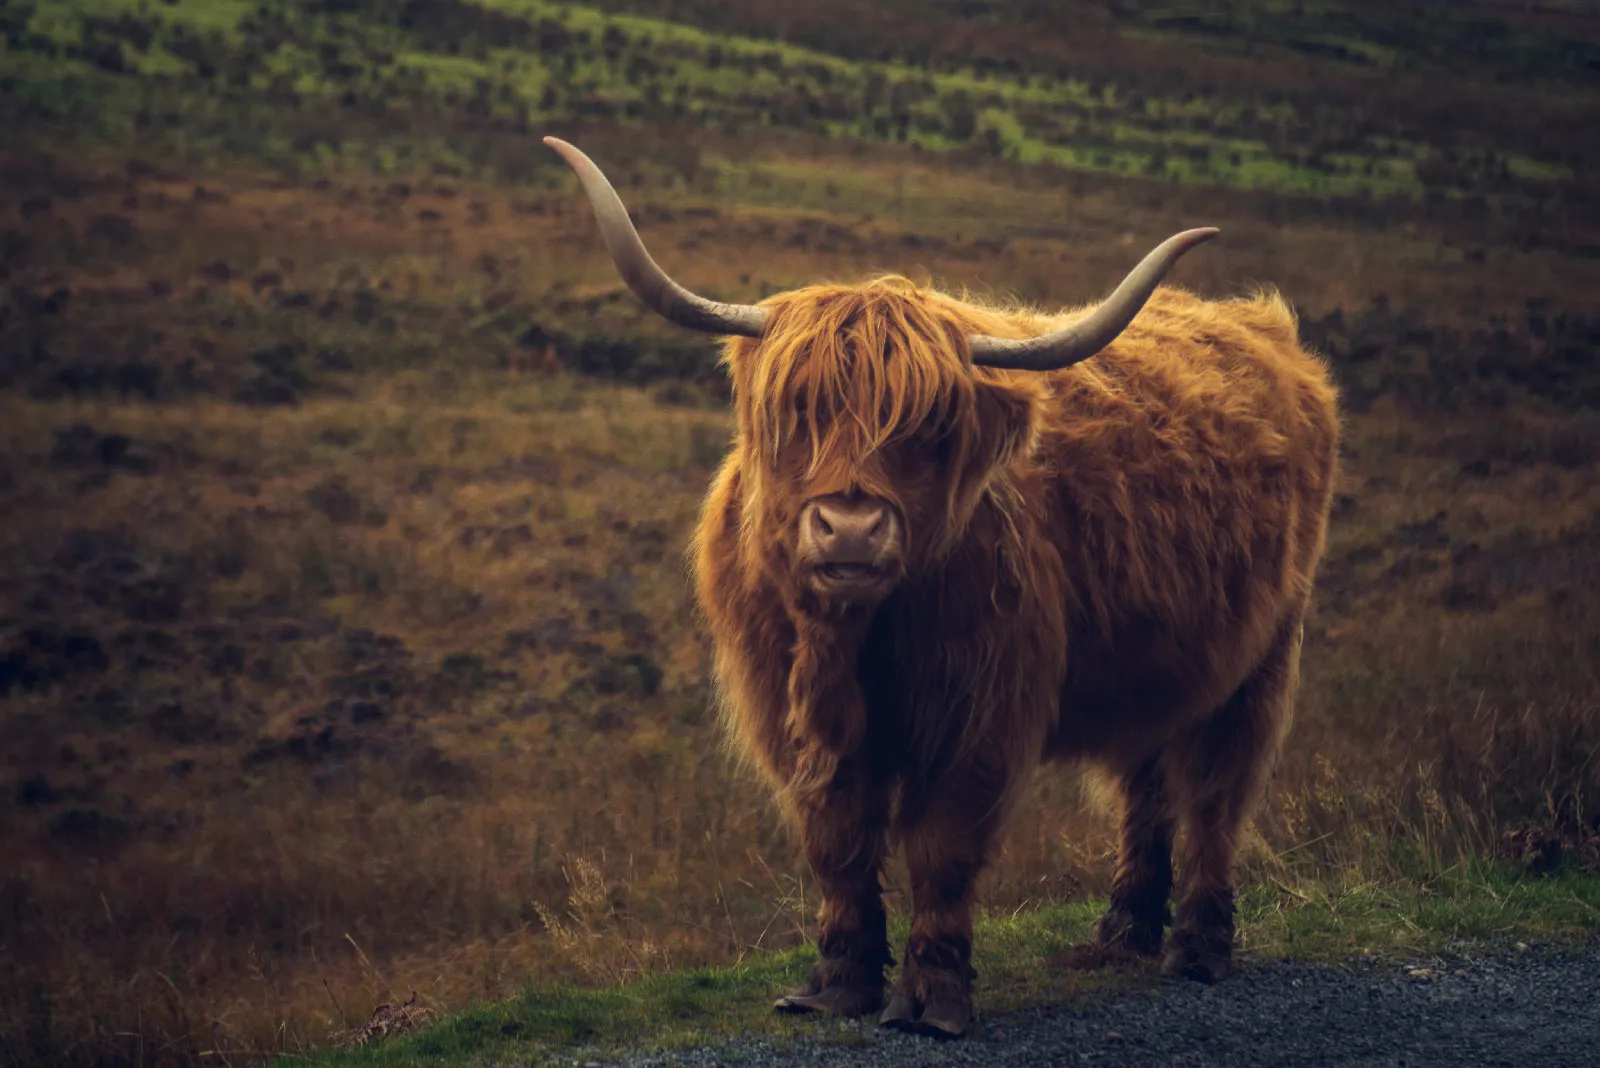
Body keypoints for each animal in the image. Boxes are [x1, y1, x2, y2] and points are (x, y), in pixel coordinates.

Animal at [544, 137, 1340, 1038]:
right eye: (798, 413)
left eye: (929, 428)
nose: (851, 530)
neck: (850, 641)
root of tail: (1265, 328)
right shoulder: (789, 714)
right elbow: (837, 842)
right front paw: (835, 983)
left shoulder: (976, 714)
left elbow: (941, 846)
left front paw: (931, 998)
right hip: (1163, 665)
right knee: (1146, 786)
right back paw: (1120, 936)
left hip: (1261, 657)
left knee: (1215, 793)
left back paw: (1198, 949)